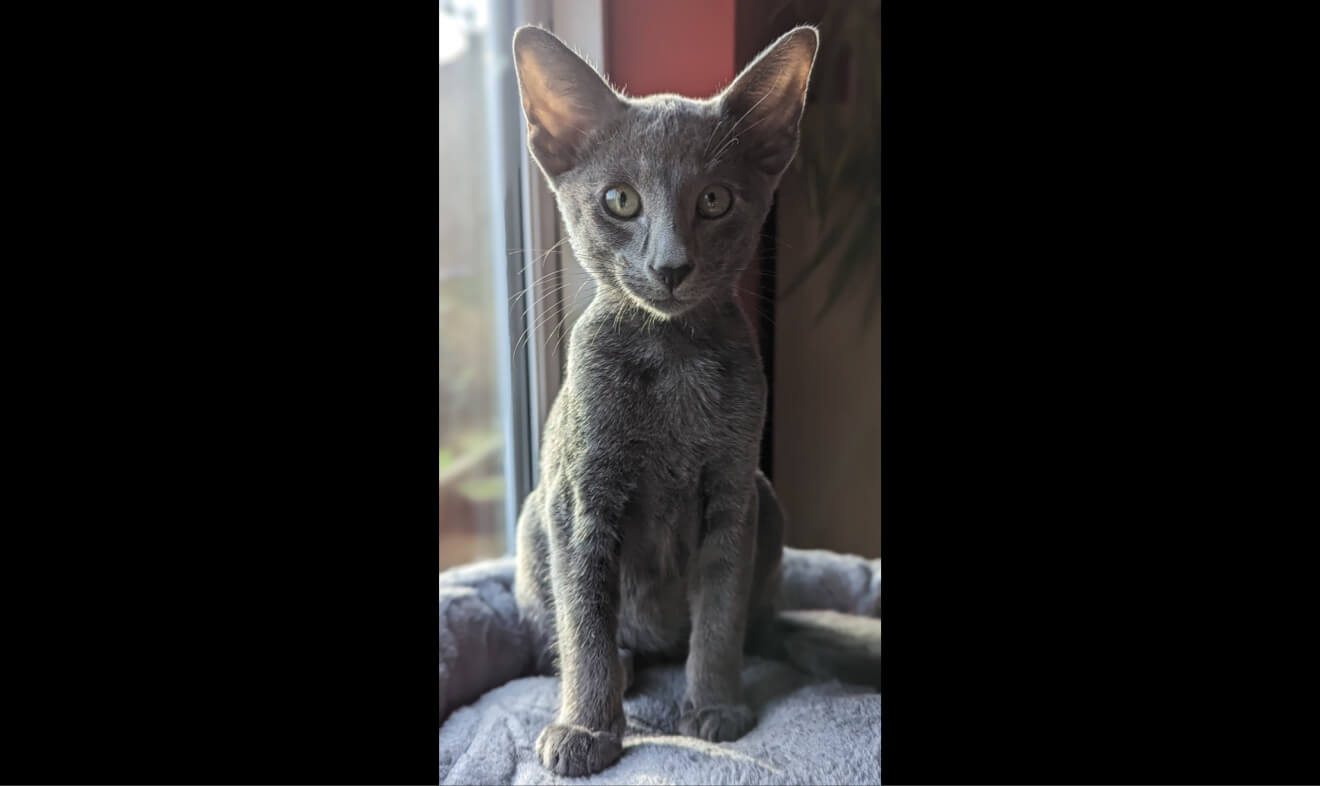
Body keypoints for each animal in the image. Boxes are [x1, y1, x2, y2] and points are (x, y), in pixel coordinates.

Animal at [509, 26, 881, 782]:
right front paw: (586, 728)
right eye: (620, 200)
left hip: (768, 499)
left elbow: (718, 616)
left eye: (714, 200)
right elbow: (586, 622)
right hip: (535, 519)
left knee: (748, 625)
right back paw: (623, 664)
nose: (671, 266)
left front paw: (714, 709)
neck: (672, 360)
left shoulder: (732, 496)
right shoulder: (581, 500)